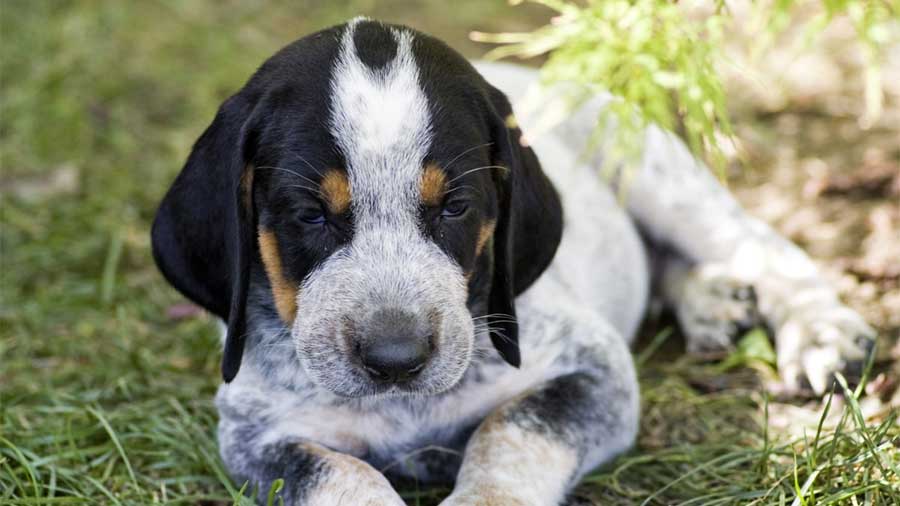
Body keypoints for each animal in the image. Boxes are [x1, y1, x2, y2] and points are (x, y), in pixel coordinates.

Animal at [151, 17, 876, 504]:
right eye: (308, 215)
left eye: (454, 208)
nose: (395, 359)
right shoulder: (256, 438)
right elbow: (343, 474)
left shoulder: (594, 373)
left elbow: (509, 430)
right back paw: (709, 303)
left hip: (655, 173)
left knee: (760, 246)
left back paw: (821, 332)